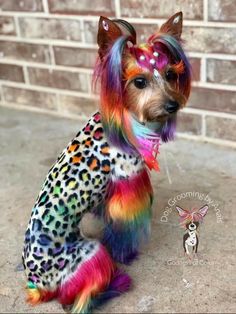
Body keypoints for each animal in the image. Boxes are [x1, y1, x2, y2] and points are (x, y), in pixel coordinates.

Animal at [22, 11, 192, 312]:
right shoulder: (128, 183)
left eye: (171, 75)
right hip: (88, 252)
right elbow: (124, 229)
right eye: (139, 82)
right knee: (77, 297)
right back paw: (116, 283)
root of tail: (35, 283)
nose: (172, 105)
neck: (126, 119)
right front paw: (126, 254)